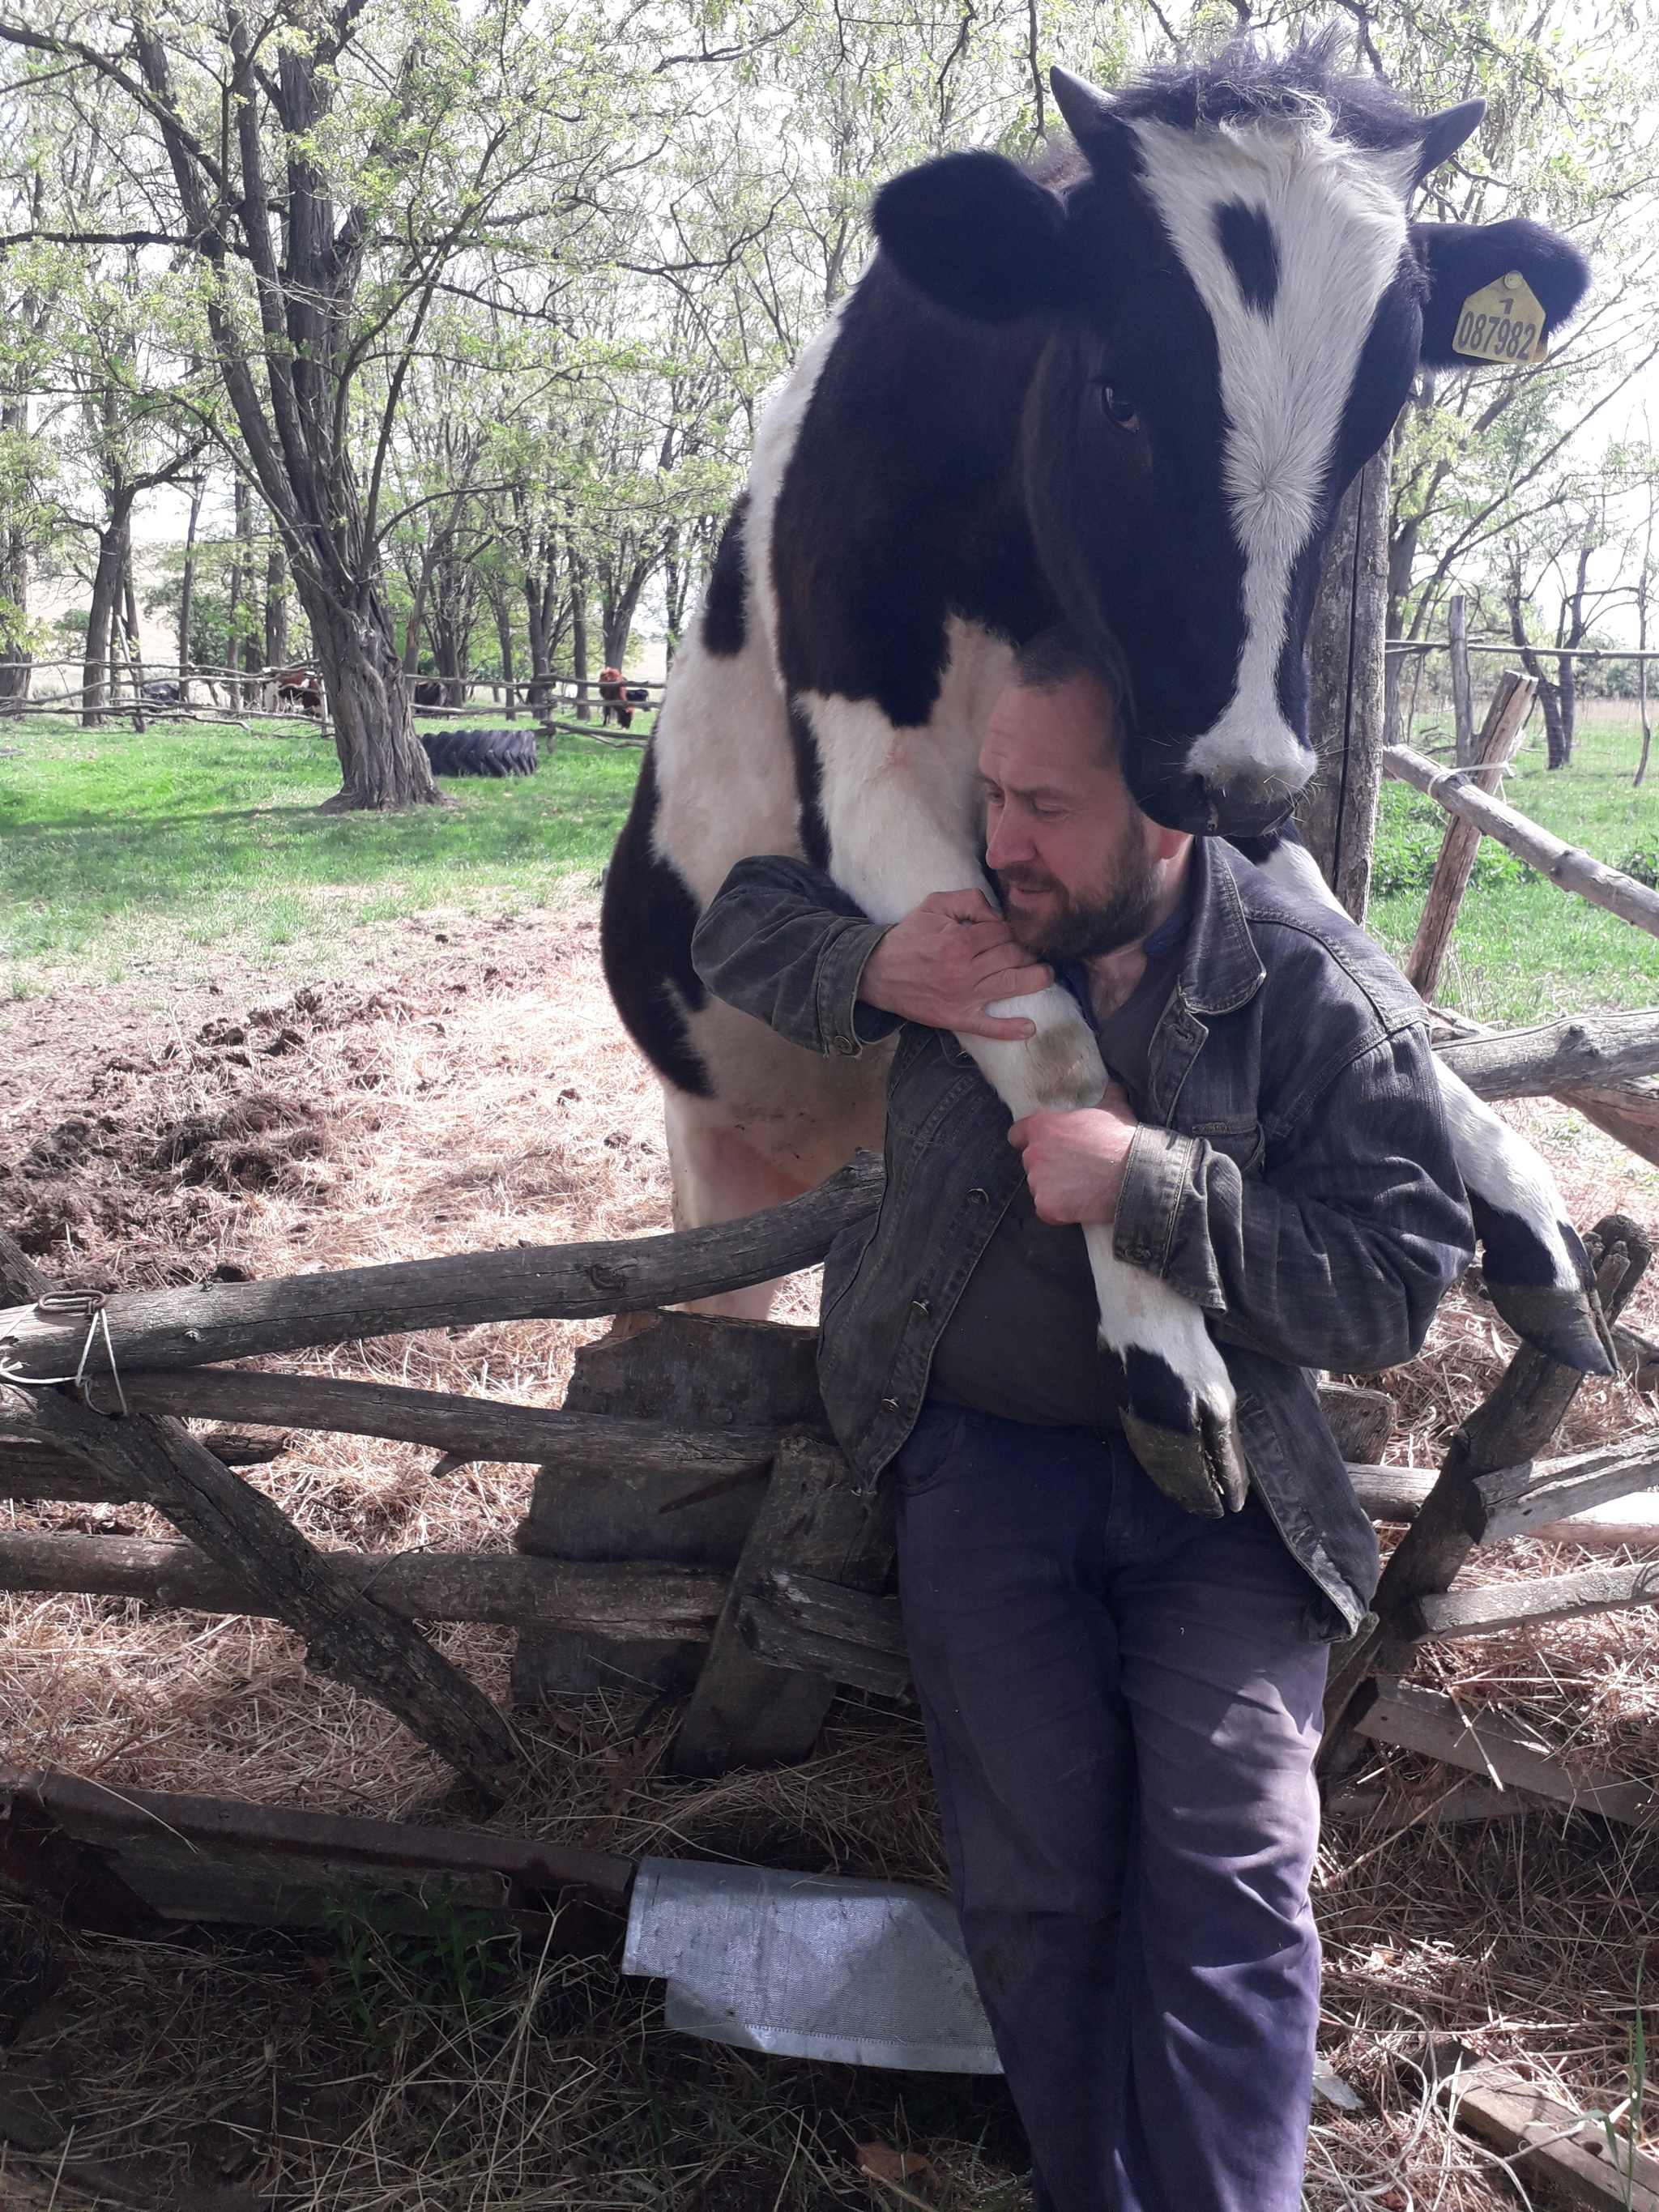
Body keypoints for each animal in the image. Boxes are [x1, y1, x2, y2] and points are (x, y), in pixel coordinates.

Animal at [601, 36, 1604, 1499]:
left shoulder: (1237, 772)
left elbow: (1372, 983)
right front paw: (1163, 1346)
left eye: (1378, 417)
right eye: (1119, 393)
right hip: (713, 1151)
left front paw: (1518, 1194)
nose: (1237, 775)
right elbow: (1059, 1042)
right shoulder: (865, 788)